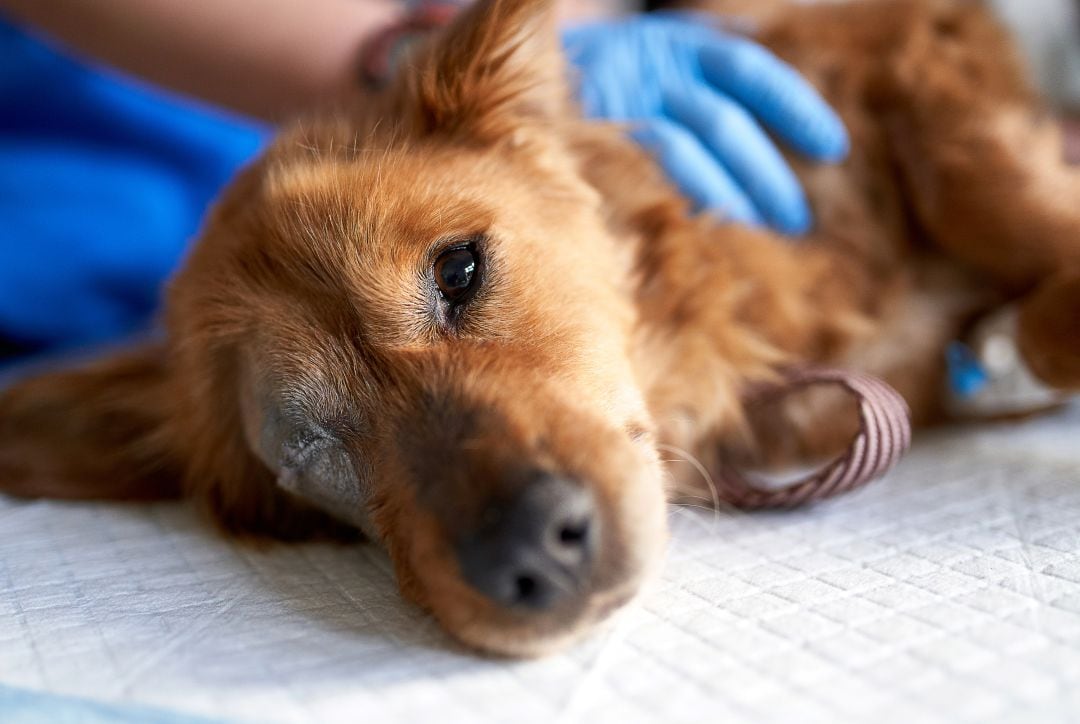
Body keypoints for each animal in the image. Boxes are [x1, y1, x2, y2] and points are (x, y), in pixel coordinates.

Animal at [2, 0, 1080, 657]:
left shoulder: (907, 50)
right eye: (304, 456)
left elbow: (986, 190)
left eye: (460, 270)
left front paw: (1025, 326)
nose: (535, 555)